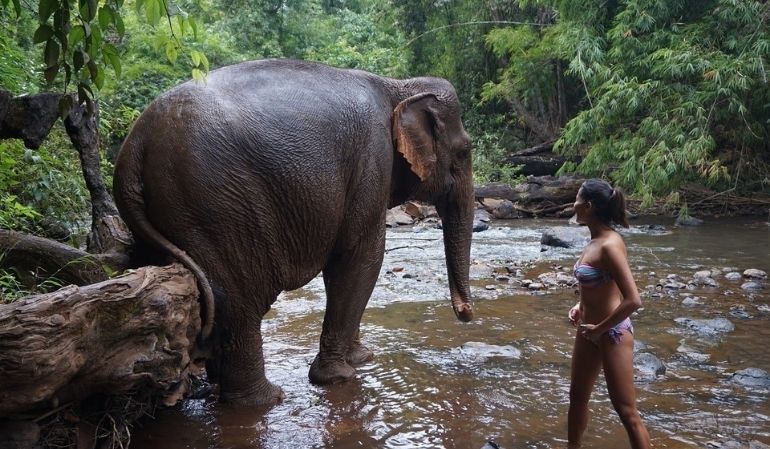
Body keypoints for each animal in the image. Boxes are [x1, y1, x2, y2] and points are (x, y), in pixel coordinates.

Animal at [113, 58, 475, 406]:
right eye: (465, 151)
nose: (465, 315)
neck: (398, 85)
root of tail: (133, 146)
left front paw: (362, 357)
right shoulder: (373, 161)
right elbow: (362, 258)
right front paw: (340, 376)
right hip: (215, 205)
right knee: (239, 300)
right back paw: (266, 400)